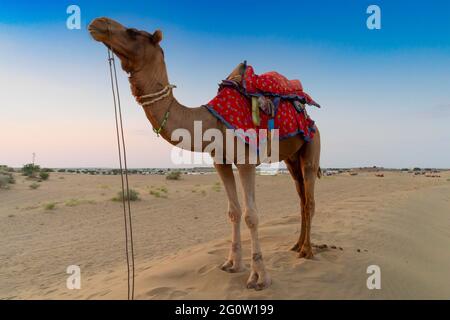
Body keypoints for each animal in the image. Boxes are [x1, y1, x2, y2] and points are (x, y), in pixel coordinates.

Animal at [88, 18, 320, 292]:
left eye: (133, 31)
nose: (97, 23)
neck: (209, 121)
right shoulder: (220, 161)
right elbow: (233, 212)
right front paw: (232, 264)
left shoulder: (245, 161)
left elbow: (251, 215)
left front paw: (259, 277)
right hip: (291, 158)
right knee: (301, 197)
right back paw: (296, 245)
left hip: (312, 144)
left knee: (310, 198)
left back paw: (307, 251)